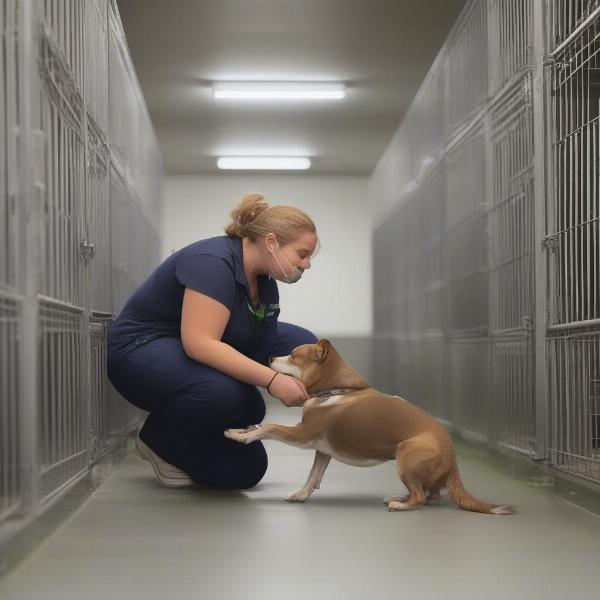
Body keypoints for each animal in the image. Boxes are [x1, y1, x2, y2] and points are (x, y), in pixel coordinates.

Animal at [225, 340, 516, 512]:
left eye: (294, 356)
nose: (270, 357)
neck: (335, 389)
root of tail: (453, 458)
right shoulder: (323, 450)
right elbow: (313, 476)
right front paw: (300, 495)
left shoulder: (302, 434)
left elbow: (269, 427)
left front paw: (241, 436)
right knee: (431, 495)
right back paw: (399, 497)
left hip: (406, 455)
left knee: (422, 497)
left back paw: (401, 505)